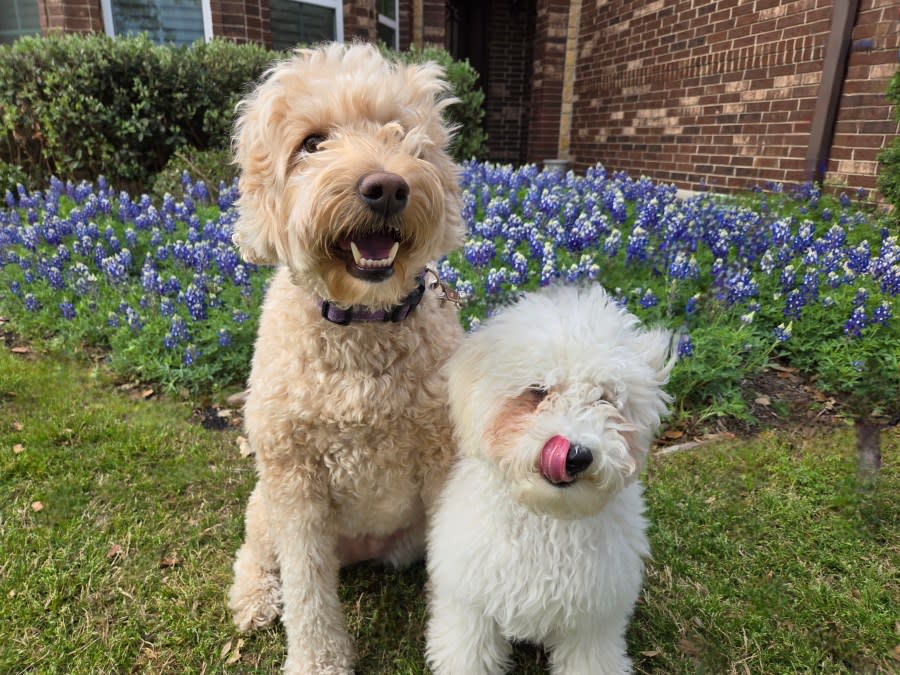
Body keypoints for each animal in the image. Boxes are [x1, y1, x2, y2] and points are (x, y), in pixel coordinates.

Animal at [225, 43, 464, 675]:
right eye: (312, 143)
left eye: (400, 132)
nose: (386, 187)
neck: (363, 324)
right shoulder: (294, 481)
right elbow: (308, 590)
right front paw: (318, 660)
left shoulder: (441, 461)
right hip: (264, 505)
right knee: (254, 554)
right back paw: (253, 601)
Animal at [426, 286, 672, 675]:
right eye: (539, 391)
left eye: (605, 399)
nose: (576, 455)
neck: (547, 518)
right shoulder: (469, 605)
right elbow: (469, 650)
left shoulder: (593, 623)